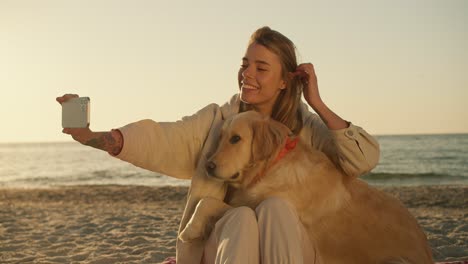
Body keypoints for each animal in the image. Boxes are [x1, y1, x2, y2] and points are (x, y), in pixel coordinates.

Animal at [181, 110, 434, 262]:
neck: (273, 165)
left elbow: (209, 202)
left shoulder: (261, 204)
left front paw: (190, 229)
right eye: (220, 137)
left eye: (236, 139)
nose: (208, 166)